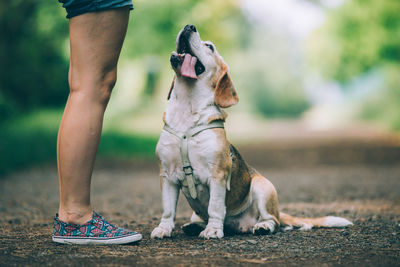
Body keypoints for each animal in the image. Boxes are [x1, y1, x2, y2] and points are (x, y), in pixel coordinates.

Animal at [151, 24, 354, 240]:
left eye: (210, 47)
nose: (189, 26)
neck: (186, 116)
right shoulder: (168, 176)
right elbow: (168, 210)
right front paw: (163, 229)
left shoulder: (217, 175)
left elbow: (215, 207)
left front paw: (213, 230)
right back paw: (195, 226)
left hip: (263, 188)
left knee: (273, 222)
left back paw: (261, 226)